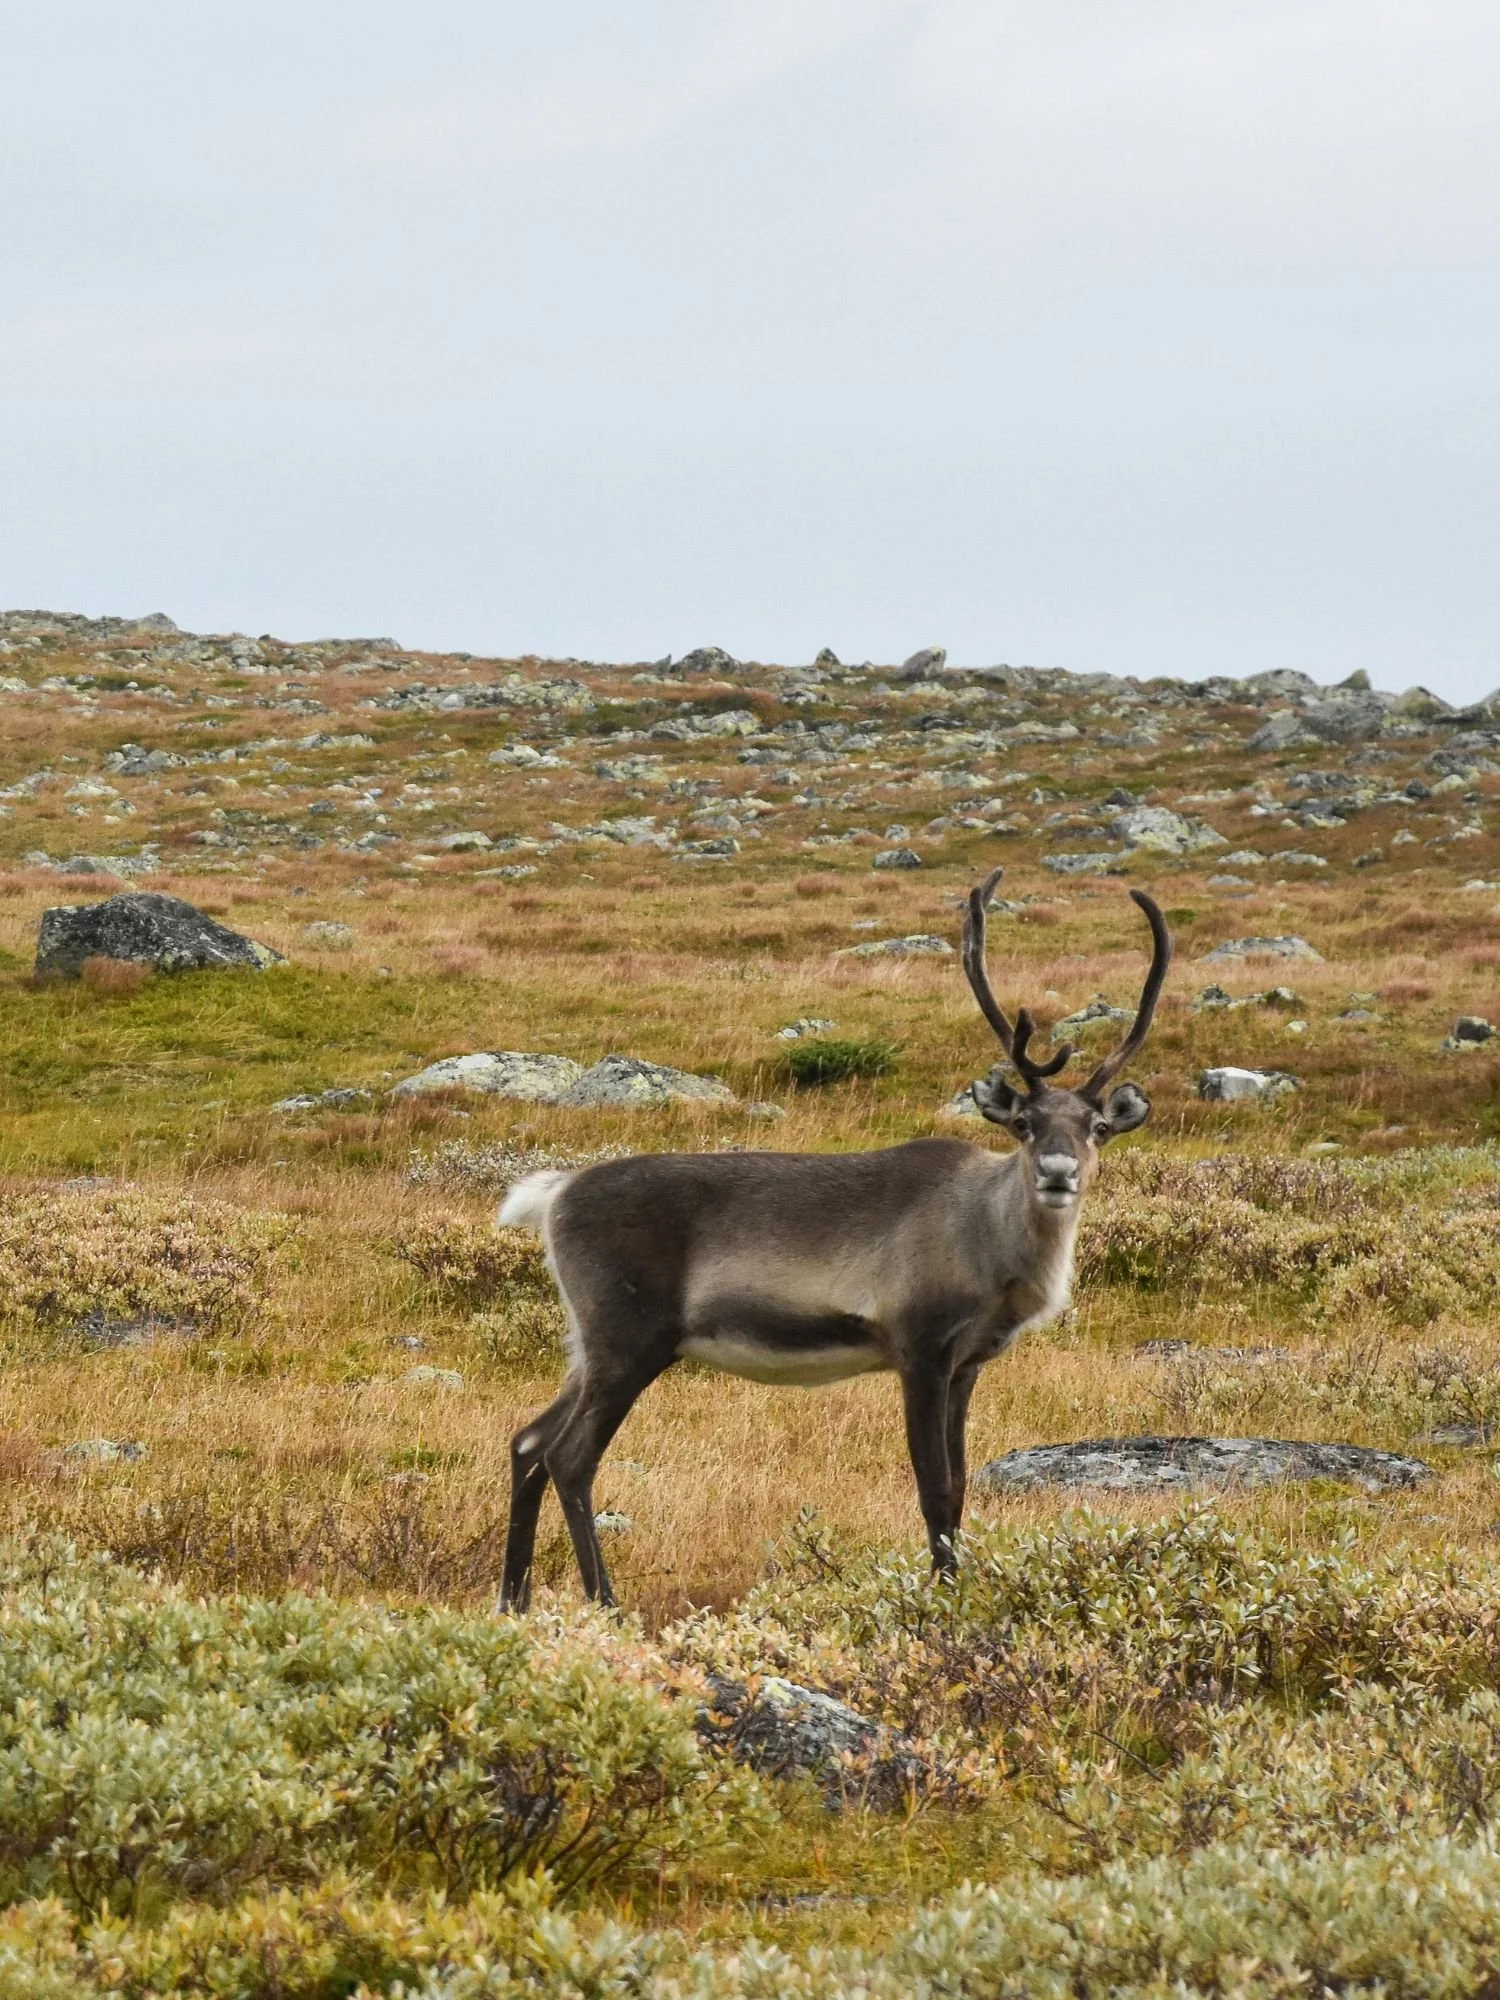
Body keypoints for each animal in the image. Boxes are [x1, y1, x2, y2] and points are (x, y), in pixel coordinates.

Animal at [494, 867, 1171, 1611]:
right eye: (1023, 1123)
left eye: (1096, 1128)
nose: (1057, 1171)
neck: (989, 1242)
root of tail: (555, 1193)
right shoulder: (918, 1348)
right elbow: (935, 1489)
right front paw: (942, 1602)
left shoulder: (967, 1363)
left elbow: (962, 1486)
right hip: (628, 1339)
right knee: (568, 1457)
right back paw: (604, 1602)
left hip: (588, 1345)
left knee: (527, 1442)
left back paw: (512, 1600)